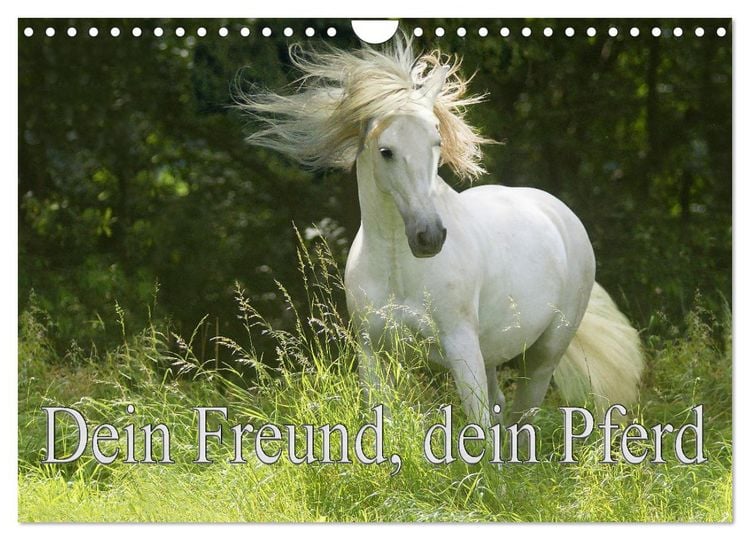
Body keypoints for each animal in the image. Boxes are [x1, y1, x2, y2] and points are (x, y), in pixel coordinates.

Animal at [236, 38, 644, 429]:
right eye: (386, 151)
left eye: (436, 142)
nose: (429, 236)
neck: (398, 267)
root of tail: (559, 213)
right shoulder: (372, 353)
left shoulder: (460, 346)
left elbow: (478, 427)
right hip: (492, 352)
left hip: (543, 355)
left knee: (522, 416)